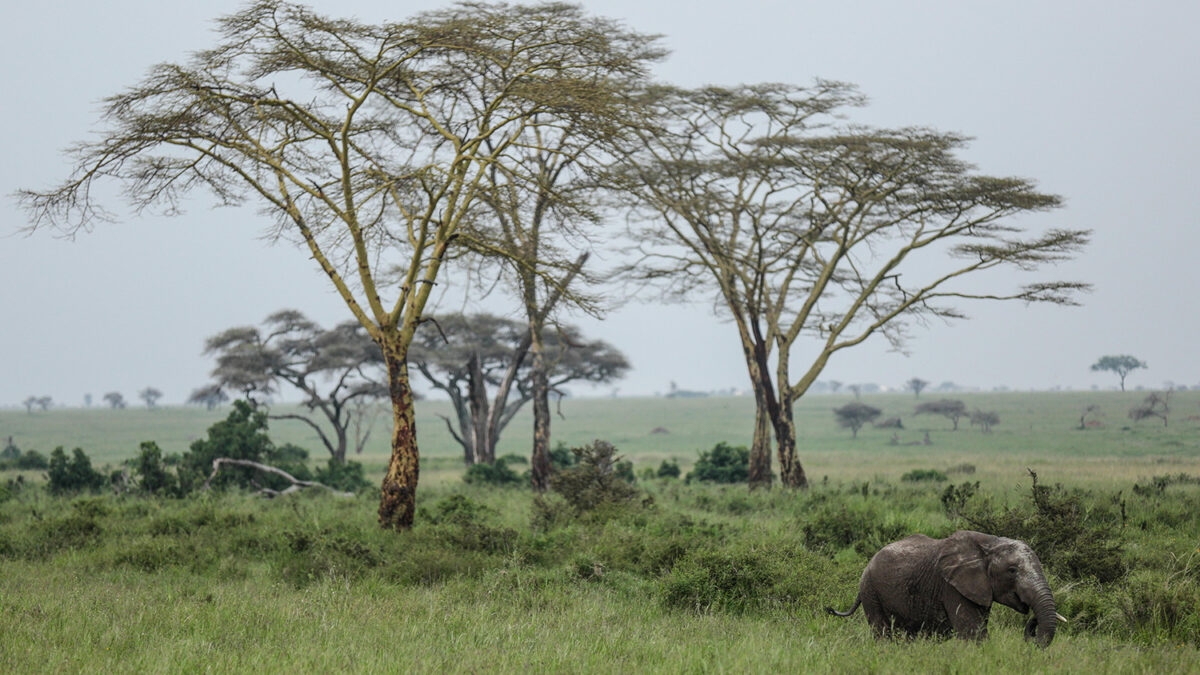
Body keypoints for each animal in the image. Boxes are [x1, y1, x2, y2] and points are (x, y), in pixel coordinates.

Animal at [825, 528, 1070, 643]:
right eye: (1012, 571)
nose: (1033, 622)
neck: (990, 543)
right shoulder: (952, 587)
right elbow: (973, 634)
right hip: (871, 591)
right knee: (882, 633)